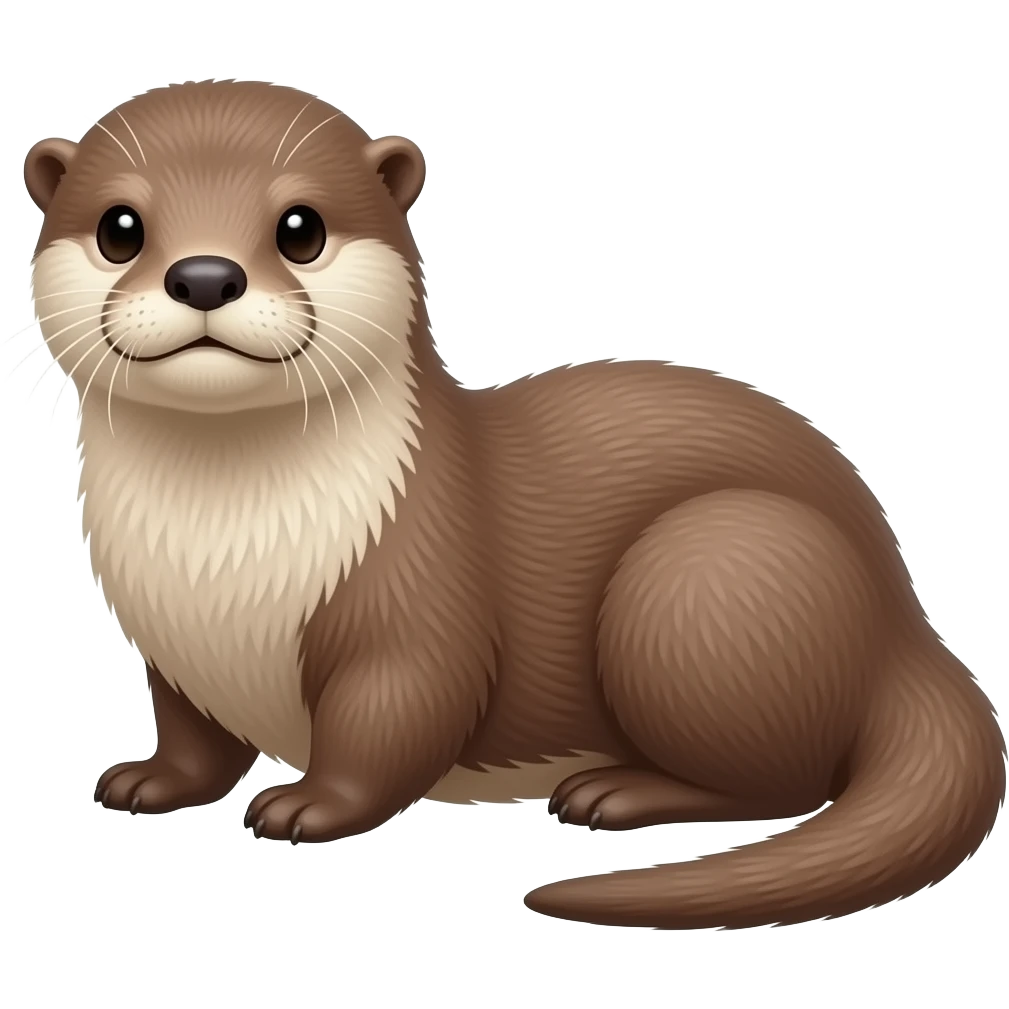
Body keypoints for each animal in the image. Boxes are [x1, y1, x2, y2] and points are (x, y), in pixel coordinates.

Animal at [22, 81, 1004, 930]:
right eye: (119, 227)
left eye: (300, 227)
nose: (203, 275)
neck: (222, 568)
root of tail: (904, 620)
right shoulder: (170, 642)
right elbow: (193, 733)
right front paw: (150, 781)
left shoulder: (417, 609)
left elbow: (388, 723)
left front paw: (307, 806)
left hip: (712, 567)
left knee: (786, 779)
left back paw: (614, 790)